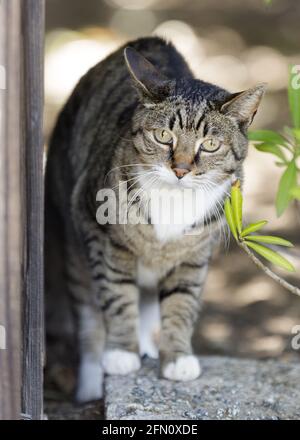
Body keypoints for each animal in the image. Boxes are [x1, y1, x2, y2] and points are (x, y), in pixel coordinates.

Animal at [45, 37, 264, 402]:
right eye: (163, 136)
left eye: (210, 144)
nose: (181, 169)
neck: (173, 199)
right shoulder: (104, 238)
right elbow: (116, 295)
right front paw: (121, 353)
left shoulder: (194, 254)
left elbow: (182, 302)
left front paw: (176, 357)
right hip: (73, 244)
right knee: (89, 319)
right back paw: (91, 385)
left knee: (147, 304)